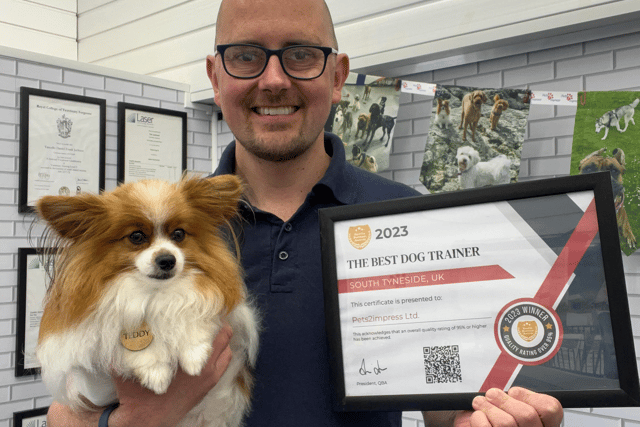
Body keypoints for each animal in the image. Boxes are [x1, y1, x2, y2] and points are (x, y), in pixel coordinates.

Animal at [35, 175, 258, 427]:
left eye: (179, 234)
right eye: (136, 236)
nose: (167, 260)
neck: (155, 293)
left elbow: (194, 314)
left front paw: (194, 355)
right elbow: (119, 340)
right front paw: (155, 372)